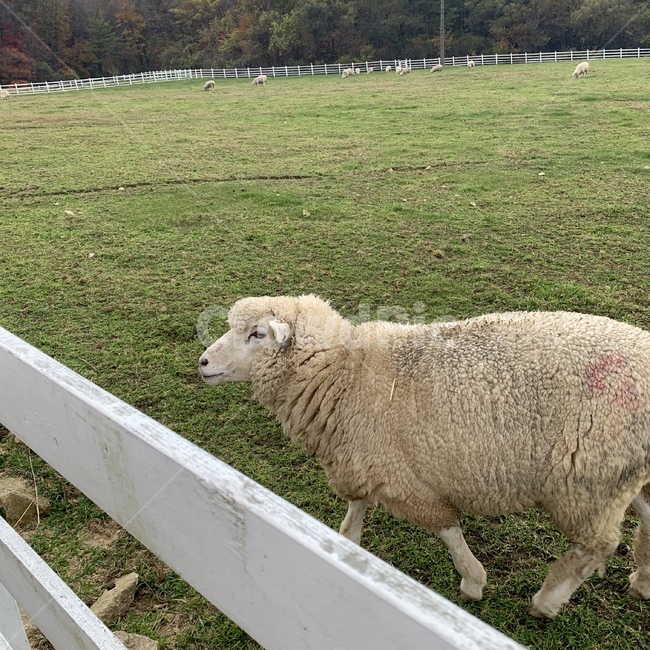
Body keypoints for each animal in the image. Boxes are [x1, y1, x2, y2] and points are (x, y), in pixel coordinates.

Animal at [199, 294, 650, 618]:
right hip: (627, 471)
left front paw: (473, 581)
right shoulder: (365, 458)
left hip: (589, 479)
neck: (344, 374)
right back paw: (642, 578)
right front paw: (347, 547)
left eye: (257, 334)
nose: (203, 362)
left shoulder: (406, 479)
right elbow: (353, 516)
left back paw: (547, 601)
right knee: (645, 515)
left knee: (599, 545)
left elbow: (446, 529)